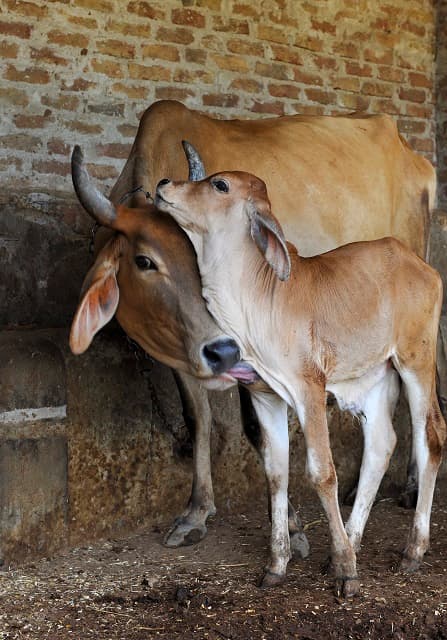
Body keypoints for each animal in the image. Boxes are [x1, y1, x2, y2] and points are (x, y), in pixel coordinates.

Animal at [73, 100, 436, 550]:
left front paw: (292, 525)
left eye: (201, 259)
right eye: (144, 261)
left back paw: (410, 487)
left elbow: (255, 430)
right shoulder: (183, 350)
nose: (222, 347)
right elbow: (198, 418)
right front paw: (196, 511)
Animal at [154, 148, 446, 598]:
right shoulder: (265, 395)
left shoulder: (310, 387)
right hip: (374, 376)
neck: (255, 298)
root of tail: (420, 264)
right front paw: (277, 564)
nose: (164, 184)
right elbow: (276, 473)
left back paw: (411, 550)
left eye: (220, 185)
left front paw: (346, 571)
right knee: (382, 443)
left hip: (416, 359)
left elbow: (321, 472)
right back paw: (353, 540)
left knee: (429, 436)